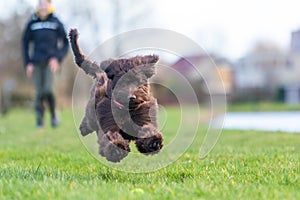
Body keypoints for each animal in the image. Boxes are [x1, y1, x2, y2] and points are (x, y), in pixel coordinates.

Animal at [68, 28, 164, 162]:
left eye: (138, 81)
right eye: (121, 82)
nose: (131, 97)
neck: (127, 110)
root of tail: (100, 73)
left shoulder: (144, 117)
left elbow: (148, 130)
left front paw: (153, 142)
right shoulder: (108, 122)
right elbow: (111, 136)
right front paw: (116, 149)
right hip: (92, 109)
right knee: (89, 119)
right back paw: (84, 128)